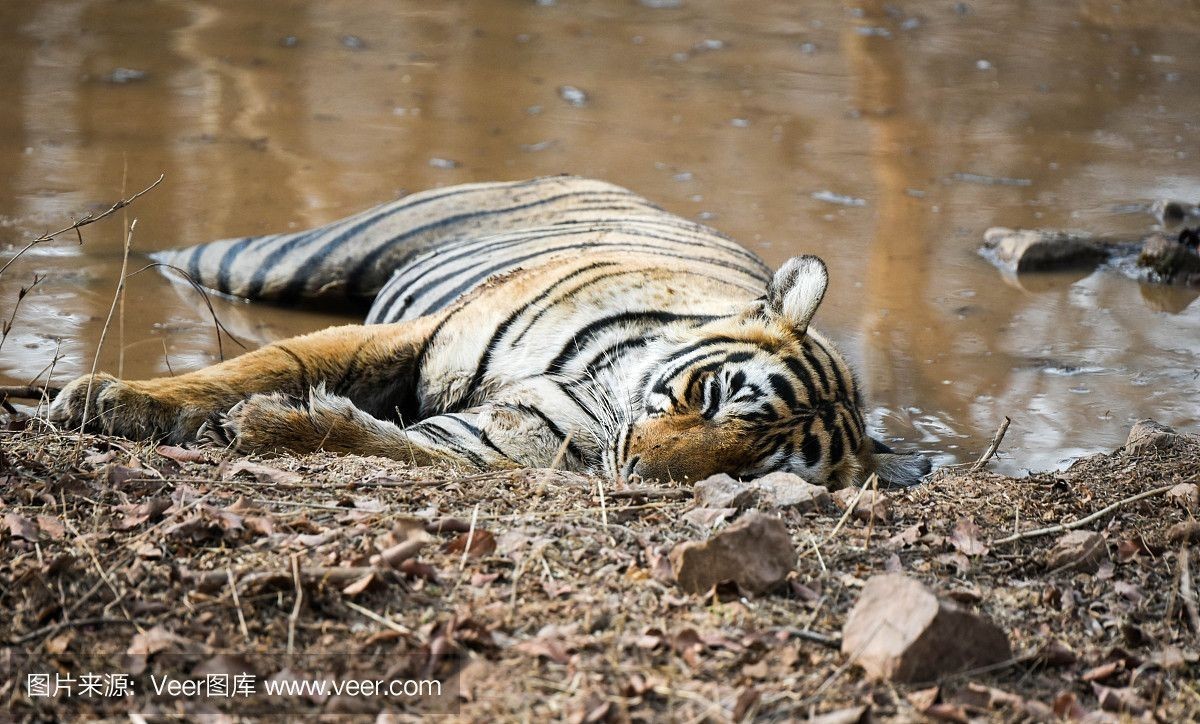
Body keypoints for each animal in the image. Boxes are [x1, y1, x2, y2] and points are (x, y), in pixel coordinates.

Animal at [49, 176, 930, 488]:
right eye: (714, 395)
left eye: (753, 471)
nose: (641, 471)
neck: (605, 392)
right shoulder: (424, 333)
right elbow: (263, 363)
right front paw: (112, 399)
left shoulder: (492, 443)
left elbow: (390, 444)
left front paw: (278, 428)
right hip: (289, 259)